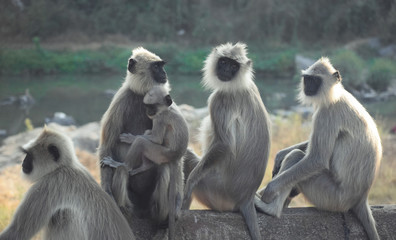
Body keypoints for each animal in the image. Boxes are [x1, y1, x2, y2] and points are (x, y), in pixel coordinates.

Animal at [97, 47, 170, 218]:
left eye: (161, 66)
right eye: (156, 67)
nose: (164, 73)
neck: (142, 95)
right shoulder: (120, 100)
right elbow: (106, 146)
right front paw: (107, 193)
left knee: (164, 167)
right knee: (122, 171)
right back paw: (126, 209)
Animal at [101, 85, 189, 238]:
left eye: (151, 106)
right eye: (146, 106)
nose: (148, 112)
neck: (167, 108)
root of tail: (176, 156)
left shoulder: (160, 118)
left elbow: (156, 139)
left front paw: (131, 138)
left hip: (160, 153)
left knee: (141, 142)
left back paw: (123, 165)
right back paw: (142, 167)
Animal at [183, 43, 272, 240]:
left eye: (233, 66)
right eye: (223, 62)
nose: (225, 70)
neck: (239, 85)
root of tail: (246, 198)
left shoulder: (220, 99)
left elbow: (225, 144)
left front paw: (190, 182)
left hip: (216, 192)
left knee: (187, 159)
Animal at [255, 57, 382, 240]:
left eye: (315, 80)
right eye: (307, 79)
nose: (308, 87)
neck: (336, 94)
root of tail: (361, 198)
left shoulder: (327, 112)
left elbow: (317, 159)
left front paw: (269, 190)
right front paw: (280, 154)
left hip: (331, 196)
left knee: (297, 156)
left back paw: (271, 209)